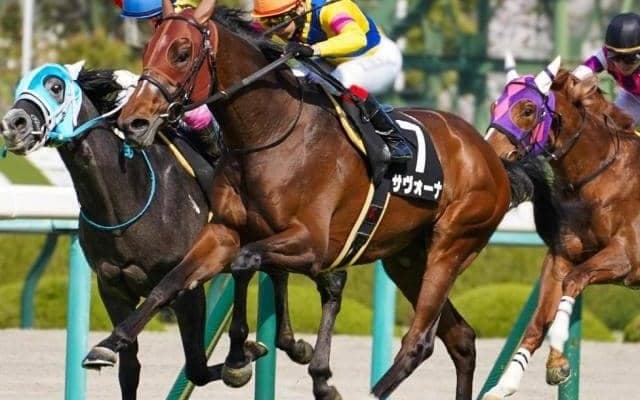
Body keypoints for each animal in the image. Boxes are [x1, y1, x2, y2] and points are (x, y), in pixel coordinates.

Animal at [0, 62, 314, 399]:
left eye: (55, 86)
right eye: (19, 85)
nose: (13, 123)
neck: (126, 197)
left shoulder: (189, 288)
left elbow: (196, 366)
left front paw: (244, 358)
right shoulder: (112, 287)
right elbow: (130, 369)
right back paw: (292, 344)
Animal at [88, 2, 533, 398]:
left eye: (181, 53)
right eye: (148, 50)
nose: (134, 121)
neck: (270, 132)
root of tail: (489, 155)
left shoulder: (312, 244)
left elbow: (245, 262)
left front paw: (241, 355)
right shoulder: (224, 231)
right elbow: (172, 281)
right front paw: (110, 343)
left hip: (451, 245)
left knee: (420, 340)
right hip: (407, 258)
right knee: (461, 338)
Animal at [482, 57, 640, 399]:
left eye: (528, 109)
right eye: (493, 106)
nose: (491, 157)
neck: (598, 177)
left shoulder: (626, 257)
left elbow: (575, 280)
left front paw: (558, 356)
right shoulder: (561, 257)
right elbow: (538, 319)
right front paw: (506, 382)